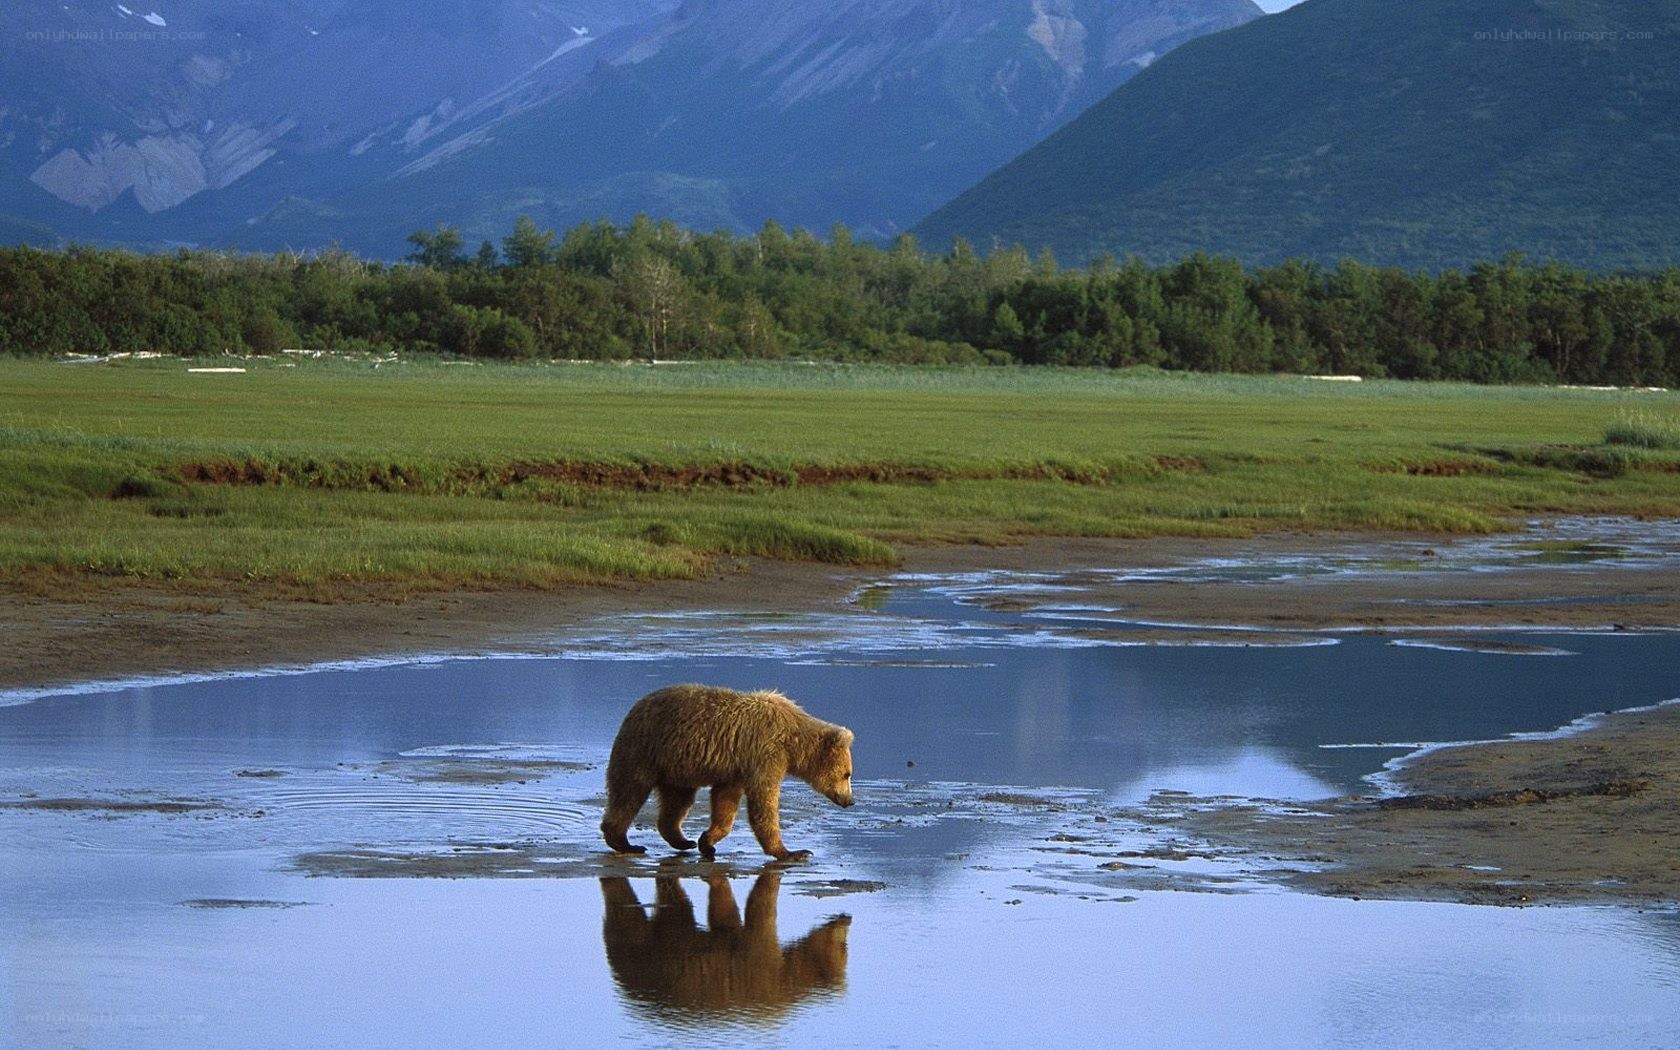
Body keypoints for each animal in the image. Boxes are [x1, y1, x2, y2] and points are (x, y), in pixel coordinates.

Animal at [600, 684, 855, 860]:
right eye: (848, 774)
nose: (850, 801)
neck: (793, 743)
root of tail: (635, 707)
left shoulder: (737, 768)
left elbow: (726, 803)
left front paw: (707, 841)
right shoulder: (766, 755)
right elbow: (764, 803)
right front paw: (793, 852)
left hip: (676, 767)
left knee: (677, 801)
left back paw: (683, 841)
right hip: (643, 750)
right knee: (629, 792)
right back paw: (625, 843)